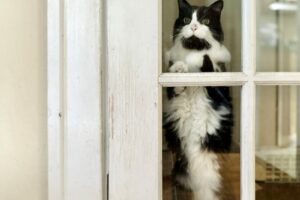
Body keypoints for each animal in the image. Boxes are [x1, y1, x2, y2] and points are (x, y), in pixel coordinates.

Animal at [163, 0, 233, 199]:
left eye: (205, 21)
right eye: (187, 20)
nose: (194, 27)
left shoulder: (219, 84)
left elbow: (208, 64)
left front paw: (199, 59)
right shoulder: (170, 90)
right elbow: (177, 85)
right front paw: (180, 68)